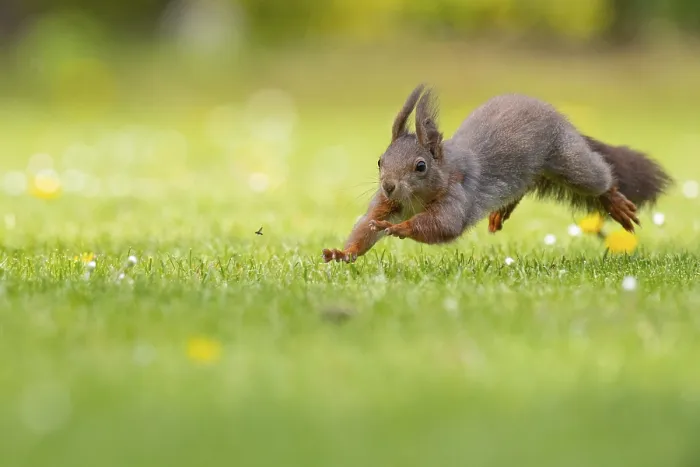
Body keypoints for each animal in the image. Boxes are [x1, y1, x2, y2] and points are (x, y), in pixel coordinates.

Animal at [322, 84, 672, 263]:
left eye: (420, 166)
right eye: (380, 161)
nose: (388, 186)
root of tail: (564, 121)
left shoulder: (457, 197)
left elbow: (442, 226)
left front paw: (399, 228)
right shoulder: (386, 204)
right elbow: (366, 228)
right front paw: (343, 252)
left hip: (571, 162)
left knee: (599, 179)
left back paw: (616, 201)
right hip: (530, 173)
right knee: (523, 188)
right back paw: (501, 212)